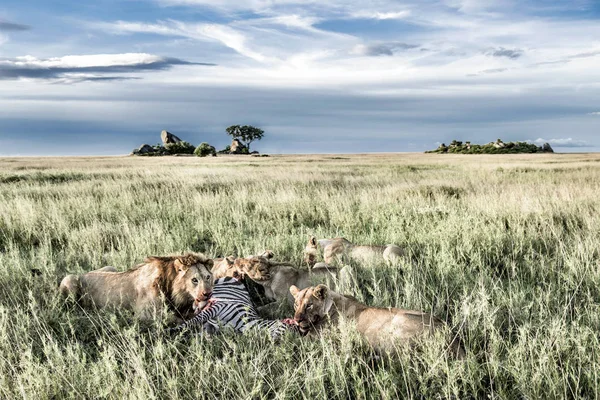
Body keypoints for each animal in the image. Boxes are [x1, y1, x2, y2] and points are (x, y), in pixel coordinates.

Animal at [59, 253, 214, 322]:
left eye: (208, 277)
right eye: (194, 280)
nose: (207, 294)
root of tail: (85, 273)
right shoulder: (144, 315)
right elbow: (176, 319)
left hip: (110, 267)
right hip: (69, 279)